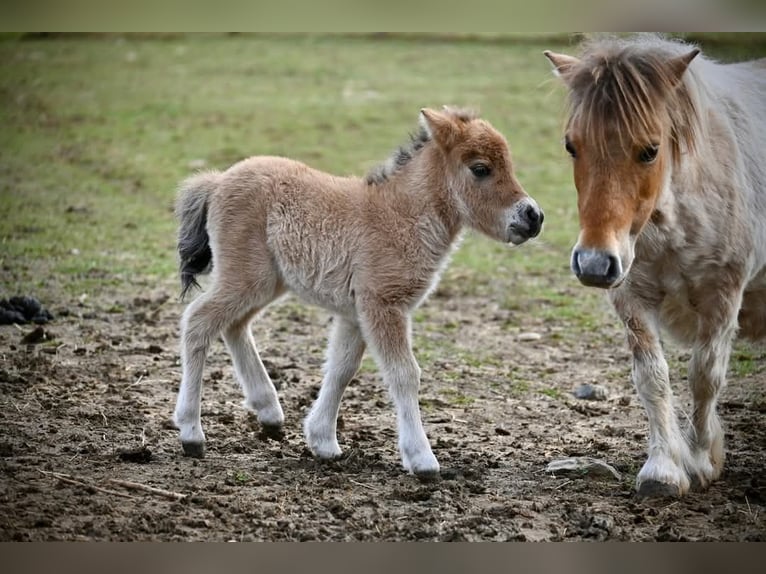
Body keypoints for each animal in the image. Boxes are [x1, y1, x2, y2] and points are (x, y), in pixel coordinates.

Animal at [174, 107, 544, 476]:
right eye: (480, 169)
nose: (533, 216)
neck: (400, 216)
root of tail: (218, 181)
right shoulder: (383, 304)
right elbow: (404, 374)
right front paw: (422, 459)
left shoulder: (355, 314)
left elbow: (341, 369)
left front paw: (323, 441)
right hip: (246, 276)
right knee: (199, 321)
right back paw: (192, 433)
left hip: (266, 282)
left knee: (234, 325)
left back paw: (268, 413)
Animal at [544, 33, 766, 498]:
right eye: (572, 145)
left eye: (650, 151)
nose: (594, 264)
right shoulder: (631, 294)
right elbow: (652, 377)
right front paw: (663, 469)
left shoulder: (723, 296)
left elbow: (704, 376)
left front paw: (701, 459)